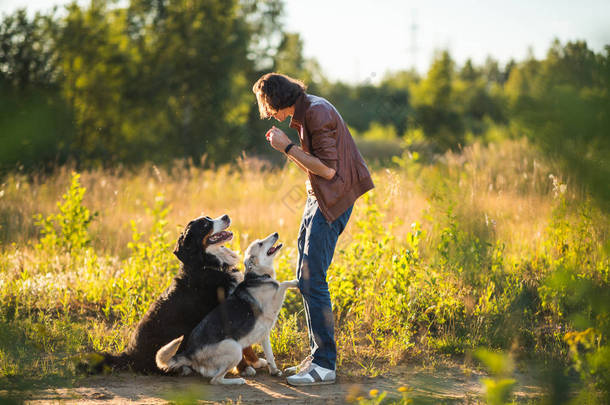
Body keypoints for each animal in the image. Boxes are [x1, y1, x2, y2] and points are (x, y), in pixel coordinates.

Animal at [86, 213, 264, 374]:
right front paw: (244, 368)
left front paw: (255, 362)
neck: (208, 264)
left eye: (209, 217)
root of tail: (129, 354)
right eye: (205, 225)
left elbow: (246, 344)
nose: (226, 216)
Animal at [153, 232, 296, 384]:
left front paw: (274, 371)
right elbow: (282, 284)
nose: (276, 234)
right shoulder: (273, 303)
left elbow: (270, 357)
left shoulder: (264, 335)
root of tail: (189, 354)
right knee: (215, 380)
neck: (258, 276)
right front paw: (296, 281)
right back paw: (238, 381)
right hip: (234, 348)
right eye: (260, 244)